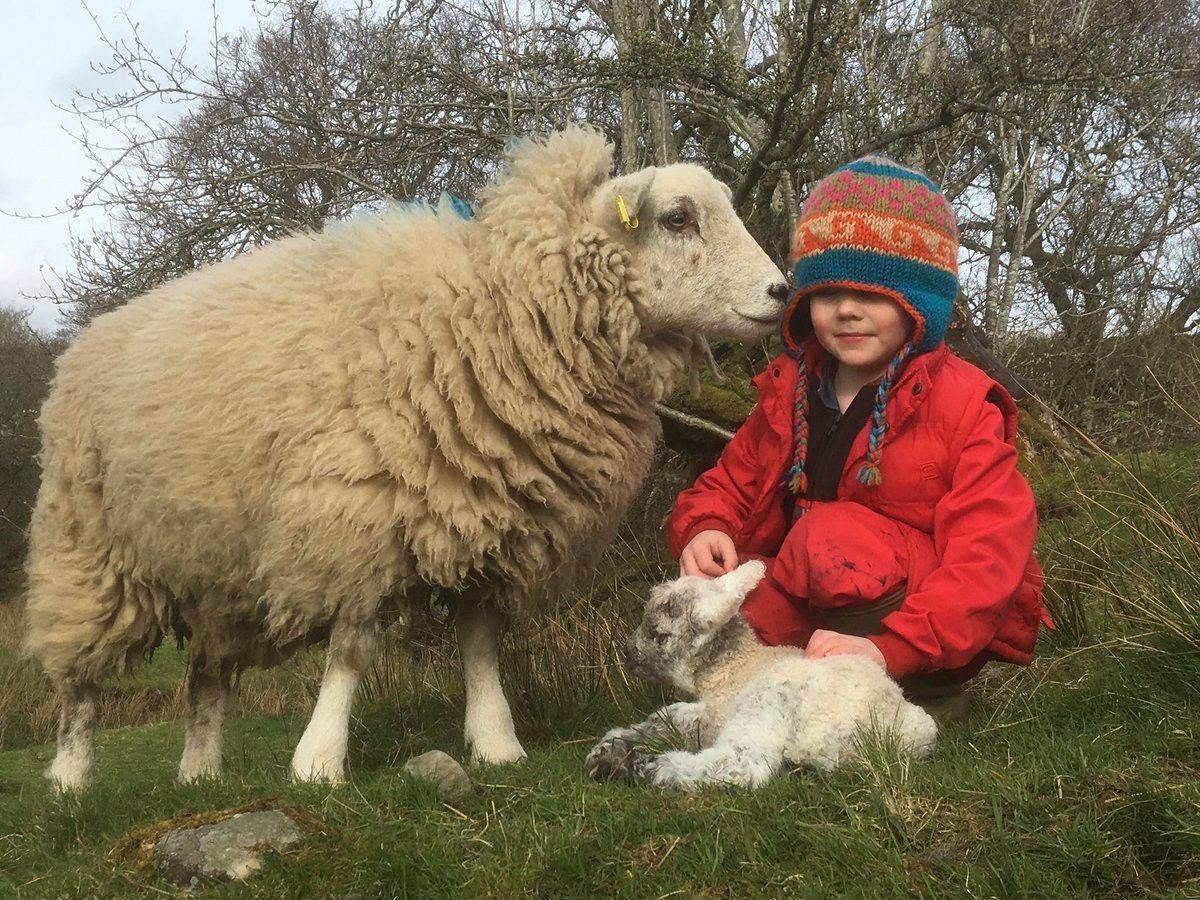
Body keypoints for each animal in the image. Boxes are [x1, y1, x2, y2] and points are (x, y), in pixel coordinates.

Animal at [24, 126, 789, 792]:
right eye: (679, 218)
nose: (781, 292)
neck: (505, 309)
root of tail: (84, 341)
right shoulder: (355, 516)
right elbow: (351, 651)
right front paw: (319, 762)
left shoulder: (492, 516)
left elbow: (479, 646)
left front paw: (497, 744)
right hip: (89, 545)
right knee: (80, 682)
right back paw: (69, 779)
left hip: (217, 567)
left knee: (207, 677)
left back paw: (200, 773)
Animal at [585, 561, 937, 790]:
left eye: (658, 634)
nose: (627, 653)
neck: (737, 666)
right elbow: (665, 718)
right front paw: (608, 747)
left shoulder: (719, 711)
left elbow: (669, 717)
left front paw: (610, 751)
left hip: (770, 701)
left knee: (744, 766)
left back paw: (647, 768)